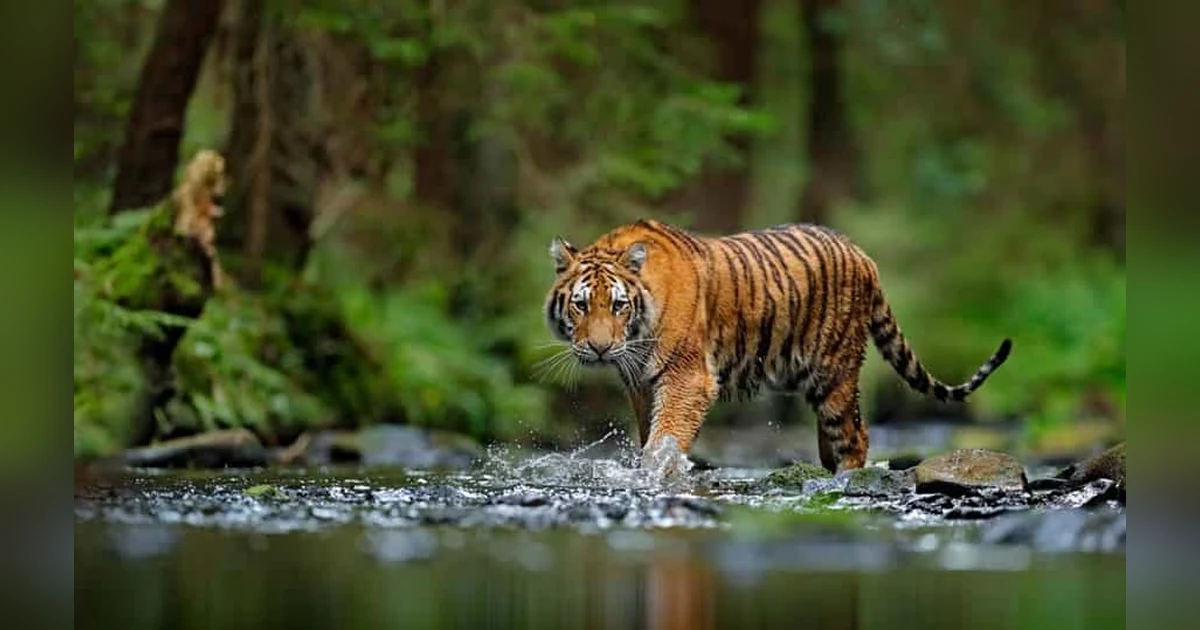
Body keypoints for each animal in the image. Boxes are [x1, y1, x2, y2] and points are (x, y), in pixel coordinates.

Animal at [544, 218, 1012, 473]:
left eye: (618, 305)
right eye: (581, 305)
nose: (600, 349)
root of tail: (863, 254)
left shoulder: (687, 377)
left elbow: (665, 439)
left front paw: (657, 474)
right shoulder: (641, 384)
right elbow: (650, 435)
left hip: (834, 373)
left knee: (855, 436)